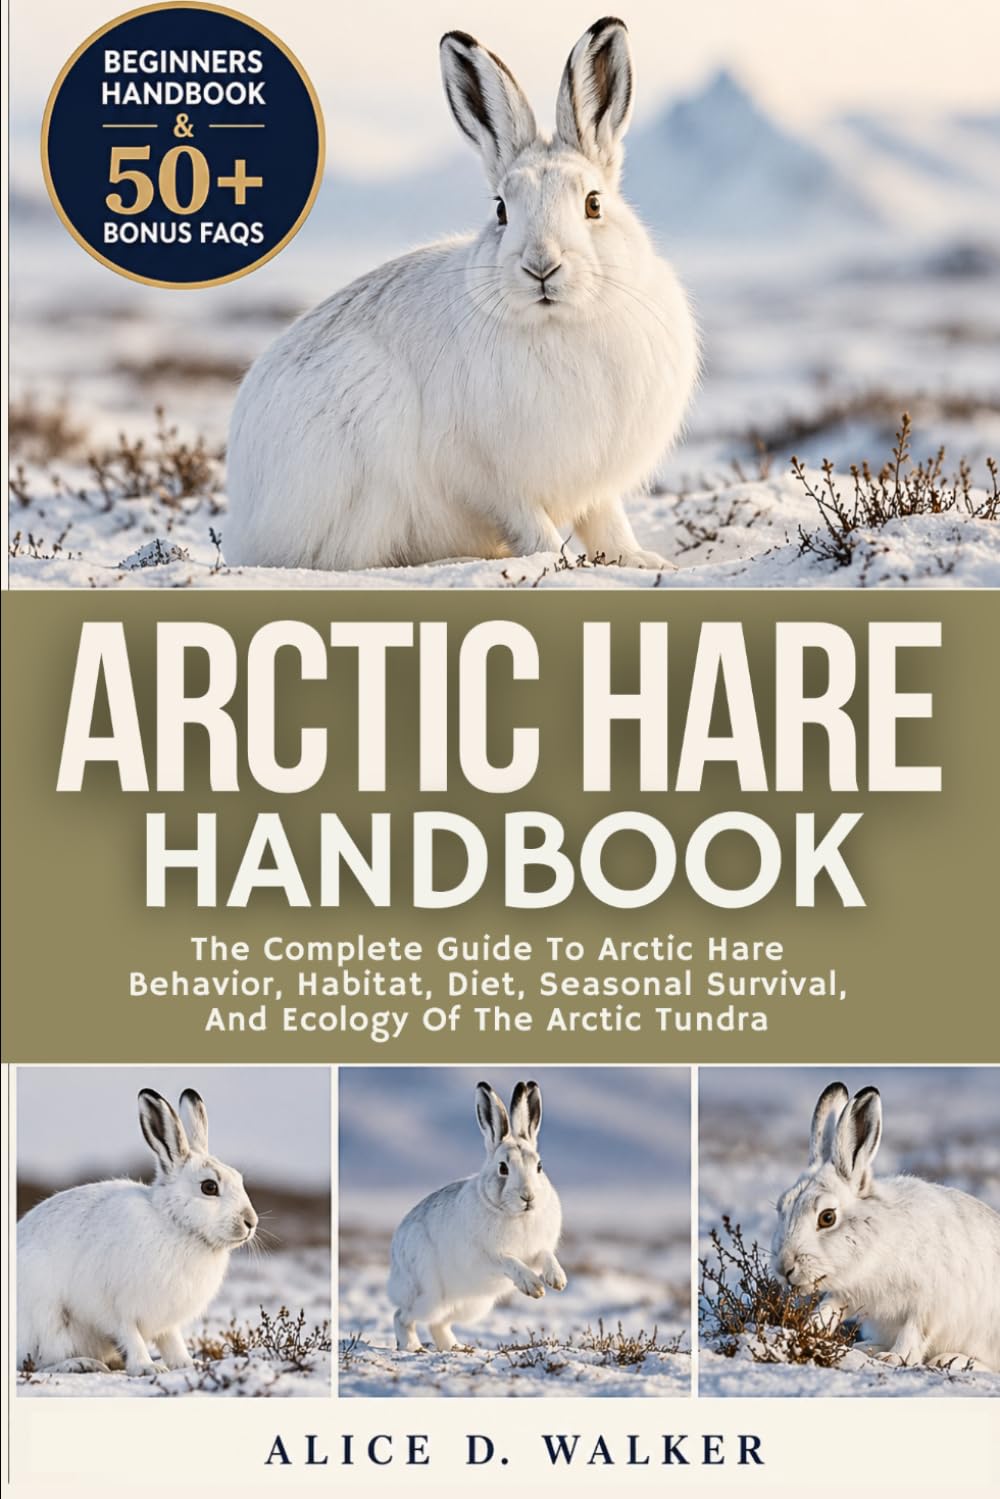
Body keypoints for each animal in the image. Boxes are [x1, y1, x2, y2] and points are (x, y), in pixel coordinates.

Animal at [16, 1089, 258, 1377]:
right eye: (209, 1187)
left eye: (240, 1179)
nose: (251, 1221)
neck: (175, 1225)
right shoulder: (117, 1308)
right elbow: (131, 1336)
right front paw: (147, 1367)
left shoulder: (166, 1319)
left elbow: (172, 1341)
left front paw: (189, 1364)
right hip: (46, 1315)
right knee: (40, 1362)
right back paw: (82, 1364)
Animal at [225, 17, 698, 573]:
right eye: (501, 210)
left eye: (594, 204)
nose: (541, 266)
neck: (556, 324)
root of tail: (245, 512)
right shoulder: (494, 477)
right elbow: (530, 522)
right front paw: (553, 560)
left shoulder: (595, 479)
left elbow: (607, 521)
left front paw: (641, 562)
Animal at [388, 1080, 567, 1351]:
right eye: (503, 1168)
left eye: (539, 1166)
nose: (528, 1197)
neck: (517, 1215)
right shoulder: (486, 1257)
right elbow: (509, 1261)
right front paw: (533, 1286)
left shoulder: (536, 1250)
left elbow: (545, 1255)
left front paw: (557, 1280)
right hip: (427, 1295)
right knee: (402, 1315)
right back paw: (411, 1346)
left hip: (470, 1305)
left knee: (439, 1323)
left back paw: (457, 1348)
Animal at [771, 1081, 1000, 1371]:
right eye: (781, 1206)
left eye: (827, 1217)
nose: (784, 1268)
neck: (876, 1247)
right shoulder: (847, 1294)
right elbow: (826, 1310)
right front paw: (804, 1332)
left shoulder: (930, 1303)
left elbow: (914, 1331)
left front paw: (894, 1358)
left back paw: (950, 1359)